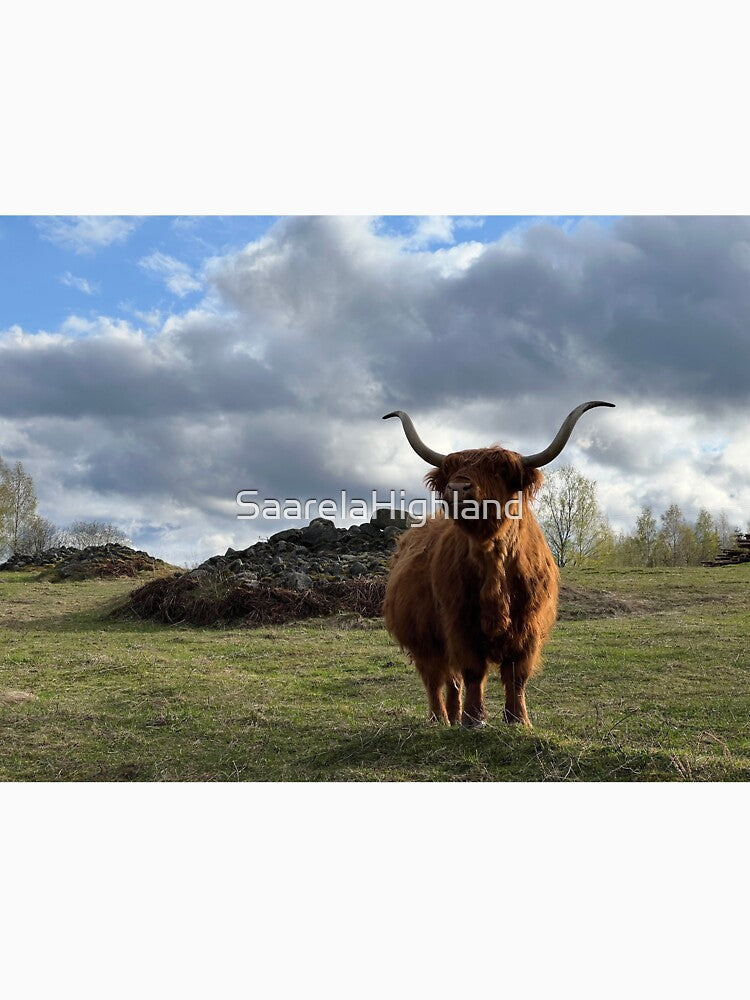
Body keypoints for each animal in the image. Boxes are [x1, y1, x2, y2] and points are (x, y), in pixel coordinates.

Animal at [382, 400, 614, 727]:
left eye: (500, 470)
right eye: (451, 469)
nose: (457, 487)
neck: (493, 560)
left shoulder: (528, 628)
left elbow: (516, 675)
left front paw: (518, 720)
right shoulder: (460, 624)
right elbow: (473, 671)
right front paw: (474, 720)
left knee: (451, 681)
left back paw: (452, 717)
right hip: (423, 640)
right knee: (435, 678)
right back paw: (440, 719)